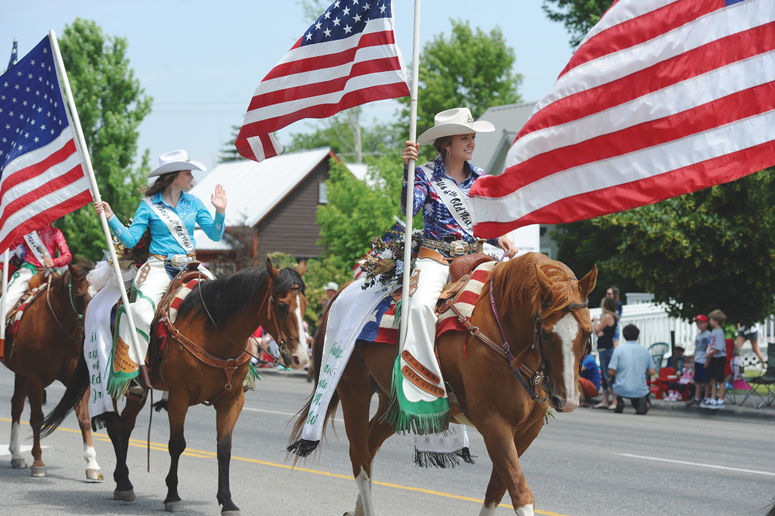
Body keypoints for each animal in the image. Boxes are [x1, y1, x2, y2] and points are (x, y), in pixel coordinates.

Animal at [1, 258, 101, 480]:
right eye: (79, 295)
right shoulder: (35, 378)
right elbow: (37, 419)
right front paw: (38, 462)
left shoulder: (77, 383)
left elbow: (84, 419)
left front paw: (92, 464)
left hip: (20, 373)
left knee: (16, 405)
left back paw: (16, 456)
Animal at [44, 260, 308, 512]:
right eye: (282, 305)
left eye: (304, 306)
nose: (301, 358)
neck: (214, 331)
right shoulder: (179, 397)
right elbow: (177, 444)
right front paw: (172, 496)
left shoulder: (232, 400)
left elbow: (224, 449)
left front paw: (227, 501)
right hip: (111, 382)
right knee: (113, 424)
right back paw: (124, 482)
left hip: (138, 394)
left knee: (124, 426)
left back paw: (123, 482)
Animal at [288, 253, 596, 516]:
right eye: (546, 333)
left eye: (587, 332)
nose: (567, 400)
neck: (502, 331)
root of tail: (341, 296)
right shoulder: (494, 425)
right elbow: (520, 494)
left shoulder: (527, 432)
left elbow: (496, 492)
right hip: (354, 391)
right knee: (359, 458)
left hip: (393, 403)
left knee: (370, 444)